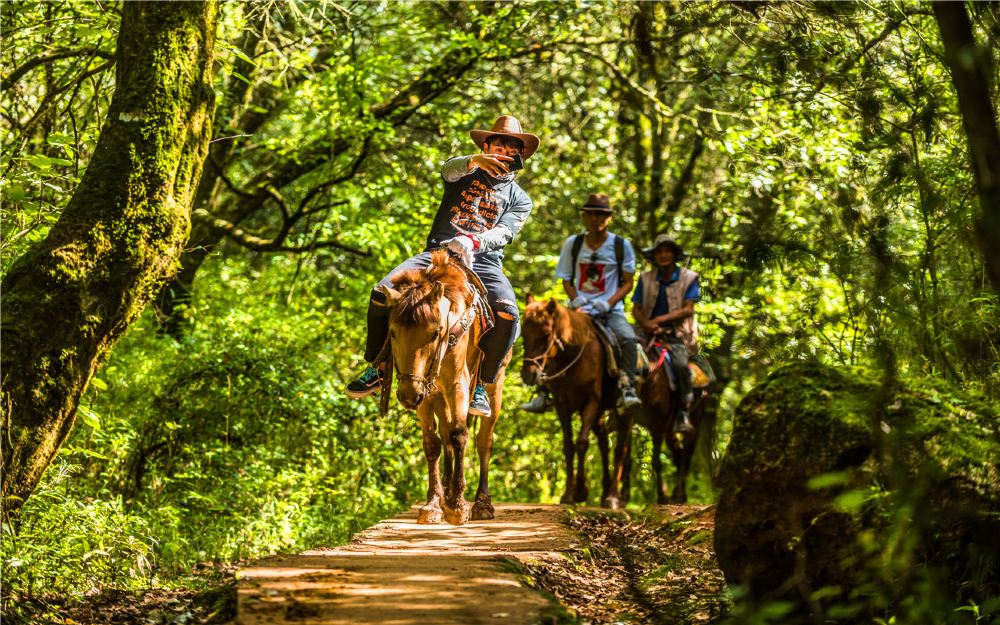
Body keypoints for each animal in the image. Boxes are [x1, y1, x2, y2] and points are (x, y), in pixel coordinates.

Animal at [376, 251, 504, 524]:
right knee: (445, 434)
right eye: (392, 333)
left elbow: (459, 435)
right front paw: (434, 503)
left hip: (494, 387)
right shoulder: (423, 393)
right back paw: (446, 491)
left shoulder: (457, 385)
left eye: (435, 333)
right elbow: (433, 443)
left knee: (483, 441)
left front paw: (457, 505)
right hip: (436, 396)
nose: (406, 396)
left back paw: (482, 503)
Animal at [520, 296, 628, 508]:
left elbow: (582, 443)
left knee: (621, 448)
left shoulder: (592, 403)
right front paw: (569, 495)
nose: (528, 375)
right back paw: (605, 491)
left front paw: (580, 491)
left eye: (546, 335)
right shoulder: (563, 406)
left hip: (625, 413)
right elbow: (568, 447)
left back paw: (613, 497)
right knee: (604, 441)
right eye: (522, 333)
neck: (573, 358)